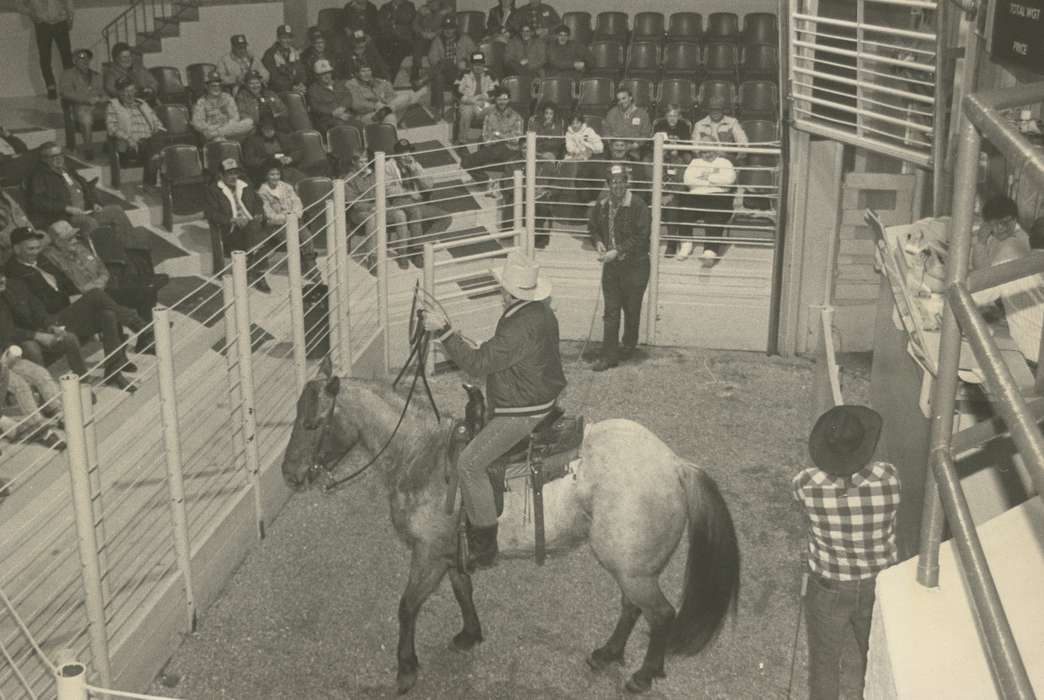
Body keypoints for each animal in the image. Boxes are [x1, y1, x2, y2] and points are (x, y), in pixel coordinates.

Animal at [283, 367, 743, 697]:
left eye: (311, 423)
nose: (289, 474)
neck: (421, 457)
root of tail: (675, 464)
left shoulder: (427, 554)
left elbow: (407, 607)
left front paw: (406, 669)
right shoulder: (449, 553)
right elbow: (462, 590)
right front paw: (470, 634)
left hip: (631, 567)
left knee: (661, 614)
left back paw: (643, 675)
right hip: (631, 565)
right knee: (633, 608)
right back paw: (607, 654)